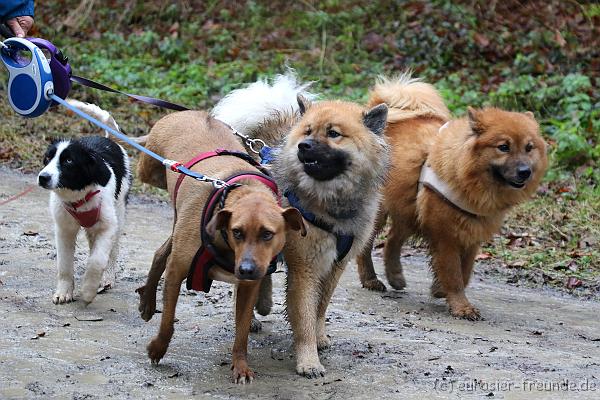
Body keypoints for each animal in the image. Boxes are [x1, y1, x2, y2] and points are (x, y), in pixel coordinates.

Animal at [38, 103, 131, 304]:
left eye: (68, 160)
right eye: (47, 158)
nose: (43, 177)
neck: (78, 198)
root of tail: (108, 139)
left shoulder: (108, 226)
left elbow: (97, 260)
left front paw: (88, 290)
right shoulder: (64, 229)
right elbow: (64, 264)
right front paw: (64, 292)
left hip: (119, 210)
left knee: (112, 250)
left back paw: (107, 278)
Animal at [135, 110, 304, 384]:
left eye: (268, 234)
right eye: (237, 232)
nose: (246, 269)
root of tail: (190, 112)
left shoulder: (248, 287)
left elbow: (242, 333)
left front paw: (240, 366)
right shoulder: (176, 272)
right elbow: (168, 320)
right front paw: (158, 348)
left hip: (178, 221)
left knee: (161, 252)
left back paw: (148, 301)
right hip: (149, 171)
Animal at [213, 74, 392, 378]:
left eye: (333, 133)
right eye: (308, 131)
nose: (304, 146)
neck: (330, 202)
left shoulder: (335, 266)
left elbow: (319, 309)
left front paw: (319, 338)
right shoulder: (306, 267)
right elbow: (305, 315)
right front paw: (309, 361)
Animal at [356, 74, 548, 318]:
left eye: (529, 147)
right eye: (503, 147)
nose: (525, 171)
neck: (466, 176)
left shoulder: (472, 233)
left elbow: (465, 272)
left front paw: (440, 289)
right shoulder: (445, 235)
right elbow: (454, 274)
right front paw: (461, 306)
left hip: (409, 209)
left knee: (392, 241)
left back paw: (395, 276)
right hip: (382, 211)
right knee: (366, 246)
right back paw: (370, 279)